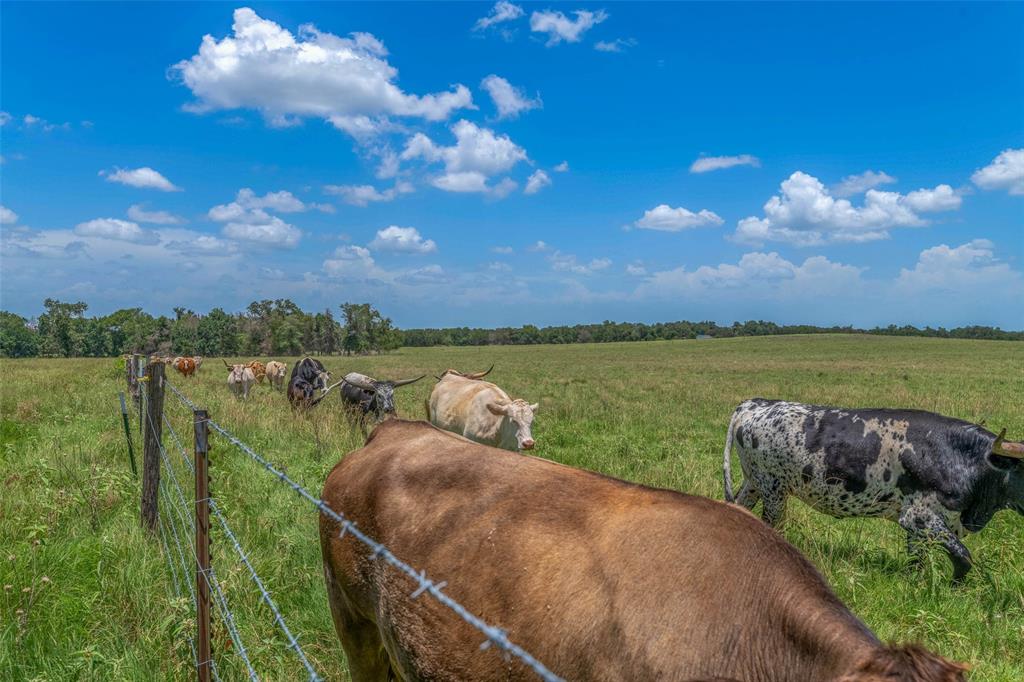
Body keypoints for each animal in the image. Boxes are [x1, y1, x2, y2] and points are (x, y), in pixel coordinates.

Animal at [720, 395, 1024, 581]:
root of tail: (755, 404)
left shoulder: (917, 522)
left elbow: (917, 558)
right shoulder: (920, 516)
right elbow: (963, 557)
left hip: (754, 484)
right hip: (773, 490)